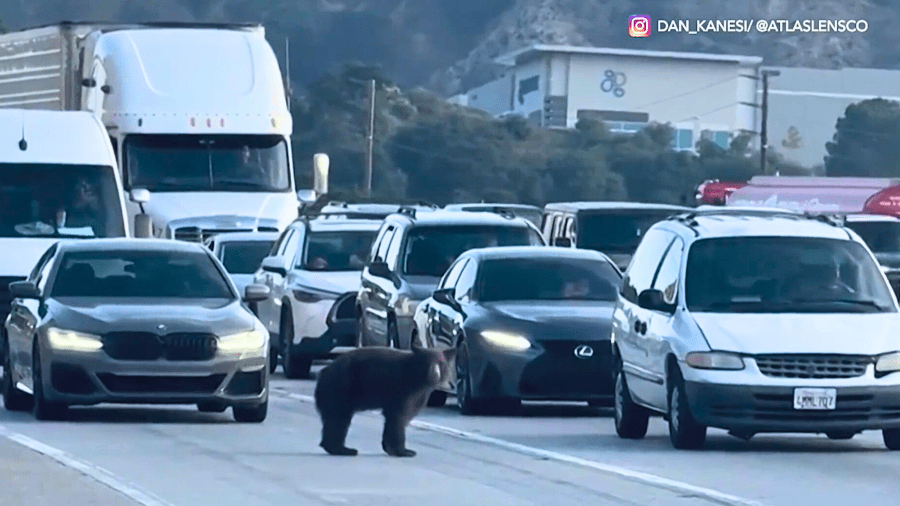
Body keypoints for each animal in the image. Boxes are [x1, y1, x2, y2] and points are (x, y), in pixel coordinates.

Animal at [314, 344, 458, 458]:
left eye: (442, 364)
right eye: (426, 363)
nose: (433, 375)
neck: (419, 380)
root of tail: (323, 372)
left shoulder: (416, 394)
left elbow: (399, 416)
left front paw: (390, 448)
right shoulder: (401, 389)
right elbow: (398, 417)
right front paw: (404, 451)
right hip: (340, 389)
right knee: (339, 419)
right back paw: (344, 449)